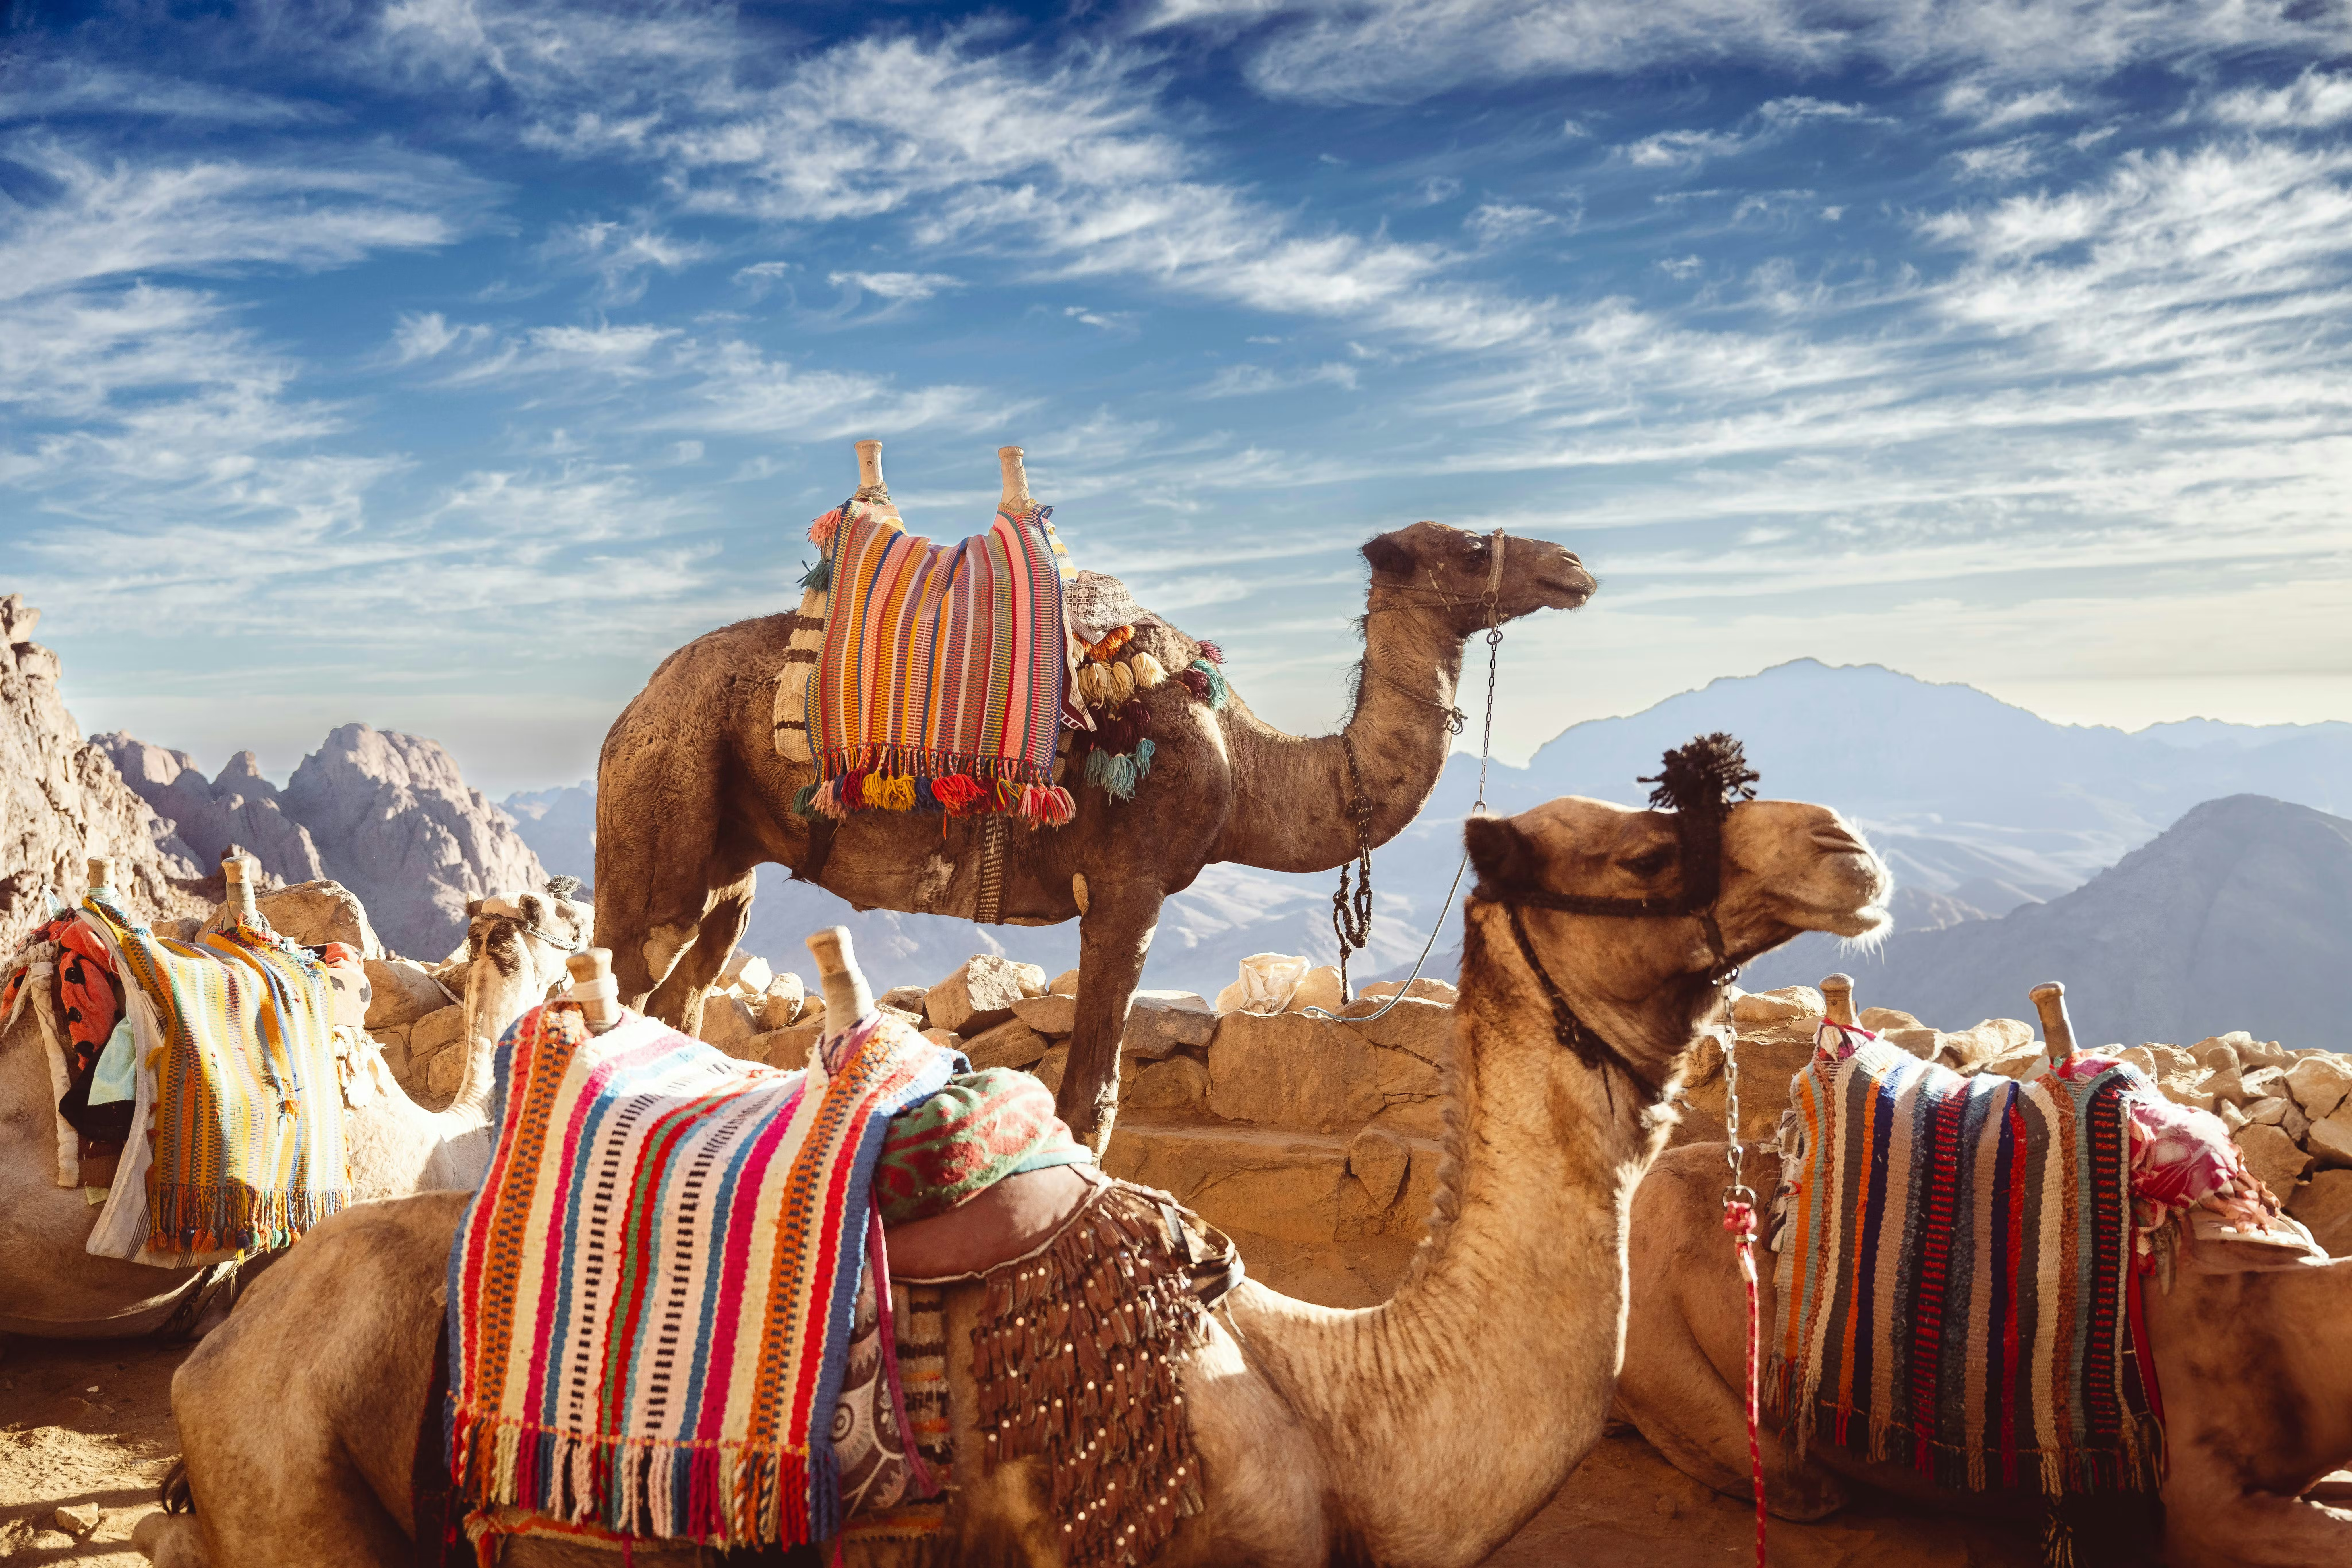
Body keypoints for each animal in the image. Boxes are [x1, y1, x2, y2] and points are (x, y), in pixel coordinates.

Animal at [592, 441, 1597, 1151]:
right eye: (1471, 547)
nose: (1575, 565)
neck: (1244, 762)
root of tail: (629, 712)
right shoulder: (1130, 886)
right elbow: (1090, 1100)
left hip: (728, 860)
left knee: (685, 993)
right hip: (660, 809)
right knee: (619, 984)